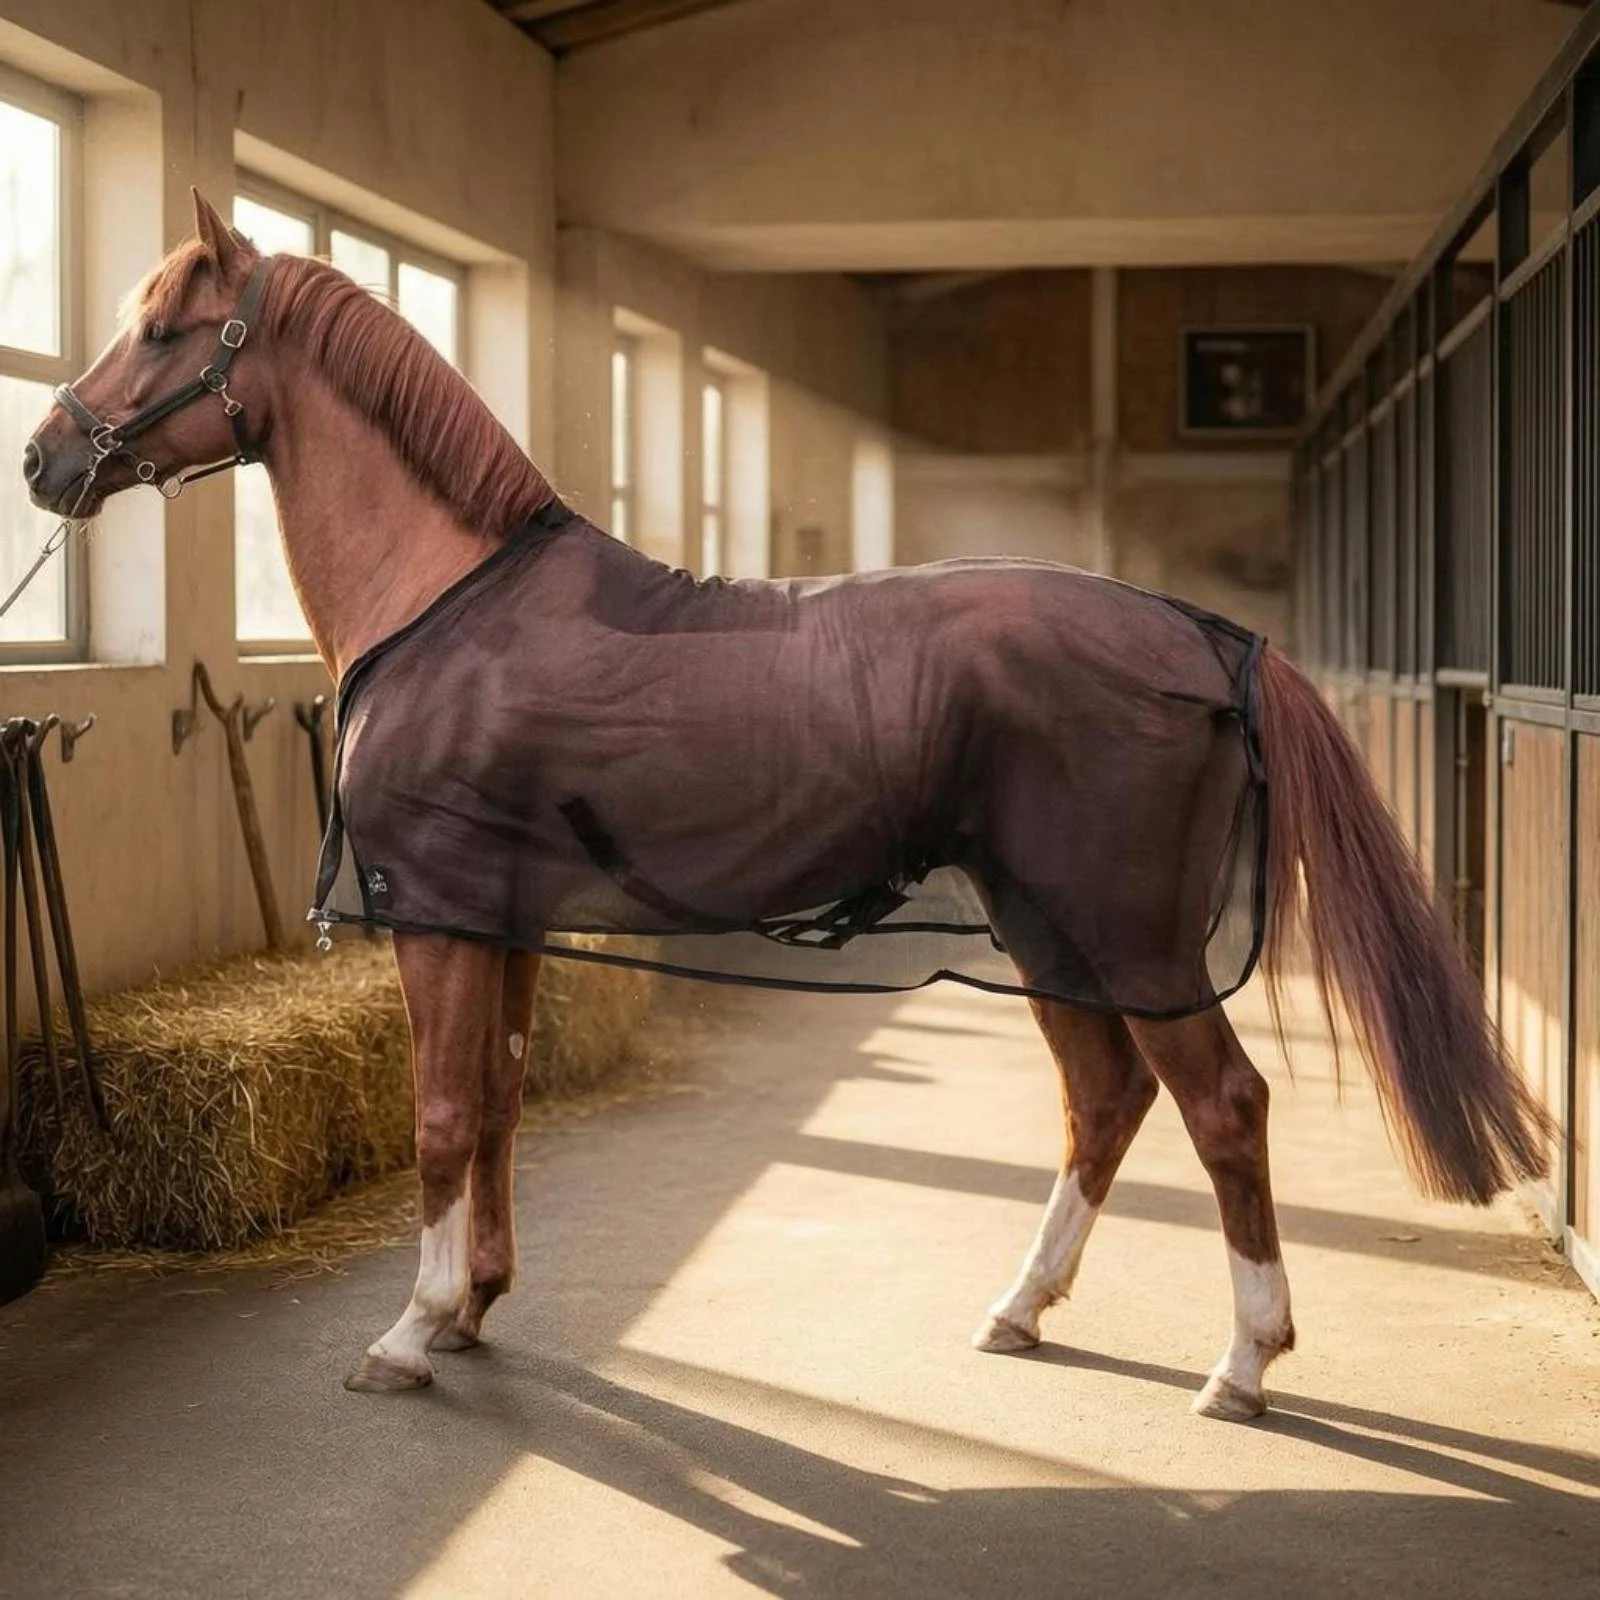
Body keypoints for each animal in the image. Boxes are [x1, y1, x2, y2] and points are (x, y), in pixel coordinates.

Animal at [22, 191, 1548, 1419]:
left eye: (165, 329)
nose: (45, 459)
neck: (450, 602)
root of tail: (1201, 633)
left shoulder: (441, 916)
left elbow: (444, 1115)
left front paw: (408, 1331)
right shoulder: (502, 920)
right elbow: (501, 1100)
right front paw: (473, 1307)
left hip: (1132, 937)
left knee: (1221, 1105)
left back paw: (1240, 1364)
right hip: (1044, 925)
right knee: (1104, 1097)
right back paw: (1021, 1308)